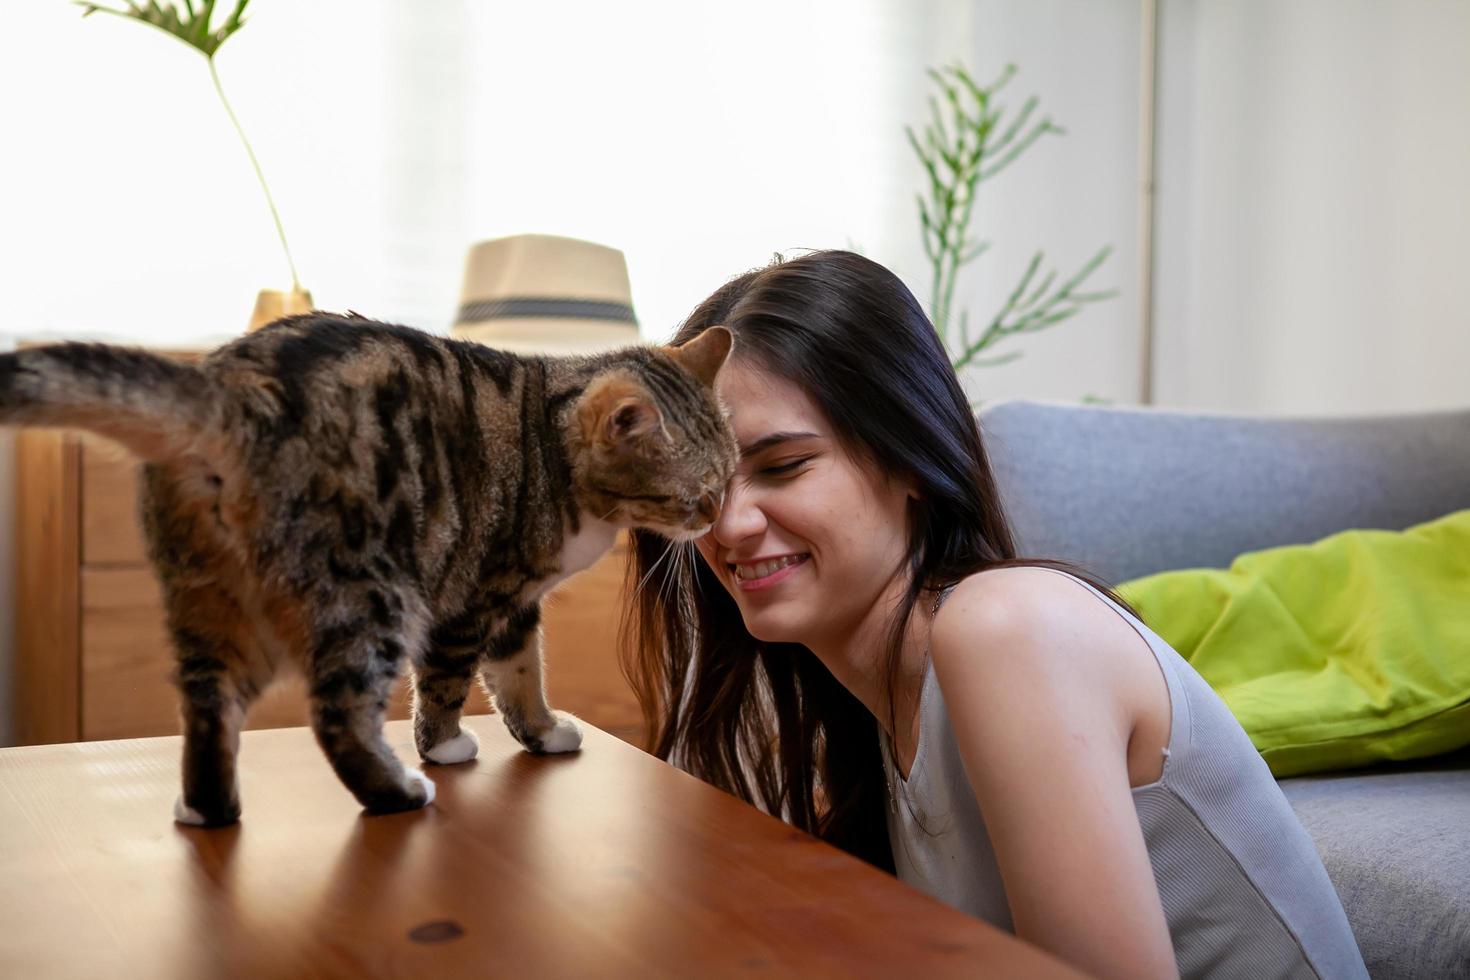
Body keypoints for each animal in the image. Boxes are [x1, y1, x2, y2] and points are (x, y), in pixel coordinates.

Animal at [0, 314, 735, 828]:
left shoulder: (516, 602)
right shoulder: (473, 595)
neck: (547, 444)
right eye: (696, 495)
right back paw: (400, 791)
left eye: (729, 481)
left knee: (209, 707)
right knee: (339, 716)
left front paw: (543, 731)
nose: (715, 519)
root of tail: (227, 393)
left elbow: (522, 675)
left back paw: (207, 811)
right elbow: (447, 684)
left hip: (213, 602)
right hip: (369, 595)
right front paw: (444, 745)